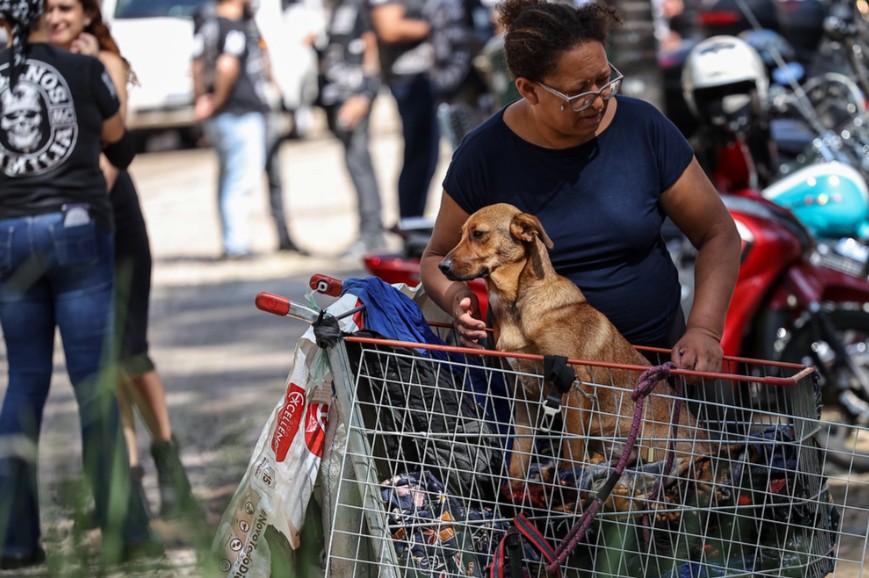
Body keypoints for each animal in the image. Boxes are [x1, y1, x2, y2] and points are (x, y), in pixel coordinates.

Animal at [438, 202, 708, 482]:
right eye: (460, 233)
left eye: (478, 234)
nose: (442, 266)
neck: (517, 304)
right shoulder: (524, 397)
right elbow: (517, 463)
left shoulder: (575, 390)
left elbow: (571, 457)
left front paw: (568, 484)